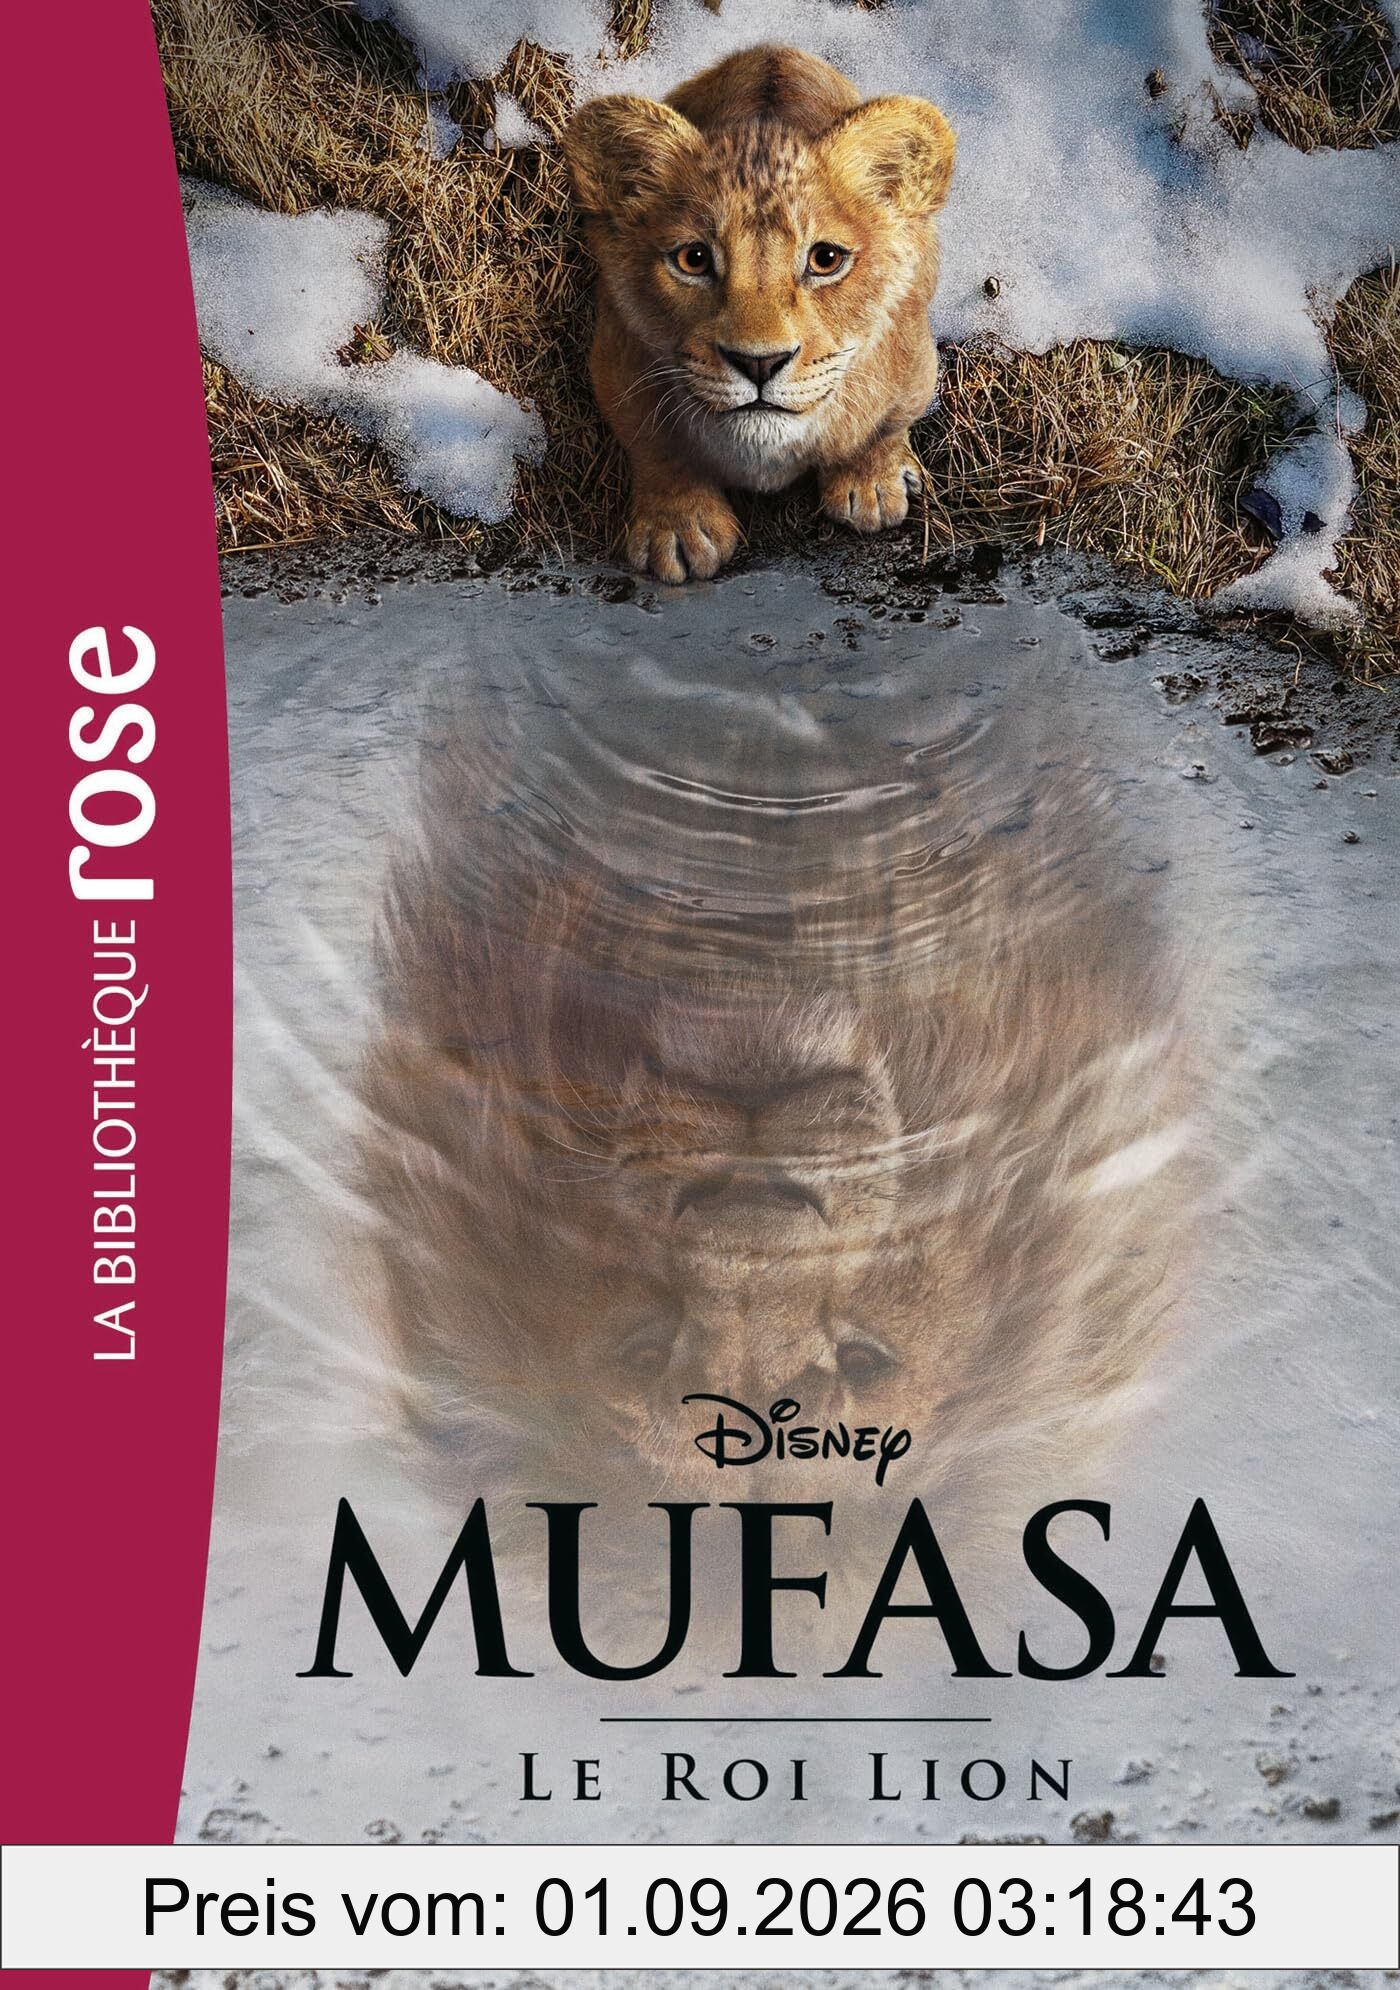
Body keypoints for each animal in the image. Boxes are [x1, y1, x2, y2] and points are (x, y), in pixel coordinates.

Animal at [564, 45, 956, 582]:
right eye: (693, 259)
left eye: (825, 259)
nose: (759, 363)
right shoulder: (615, 360)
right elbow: (656, 447)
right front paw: (678, 528)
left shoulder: (914, 361)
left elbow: (883, 427)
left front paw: (872, 486)